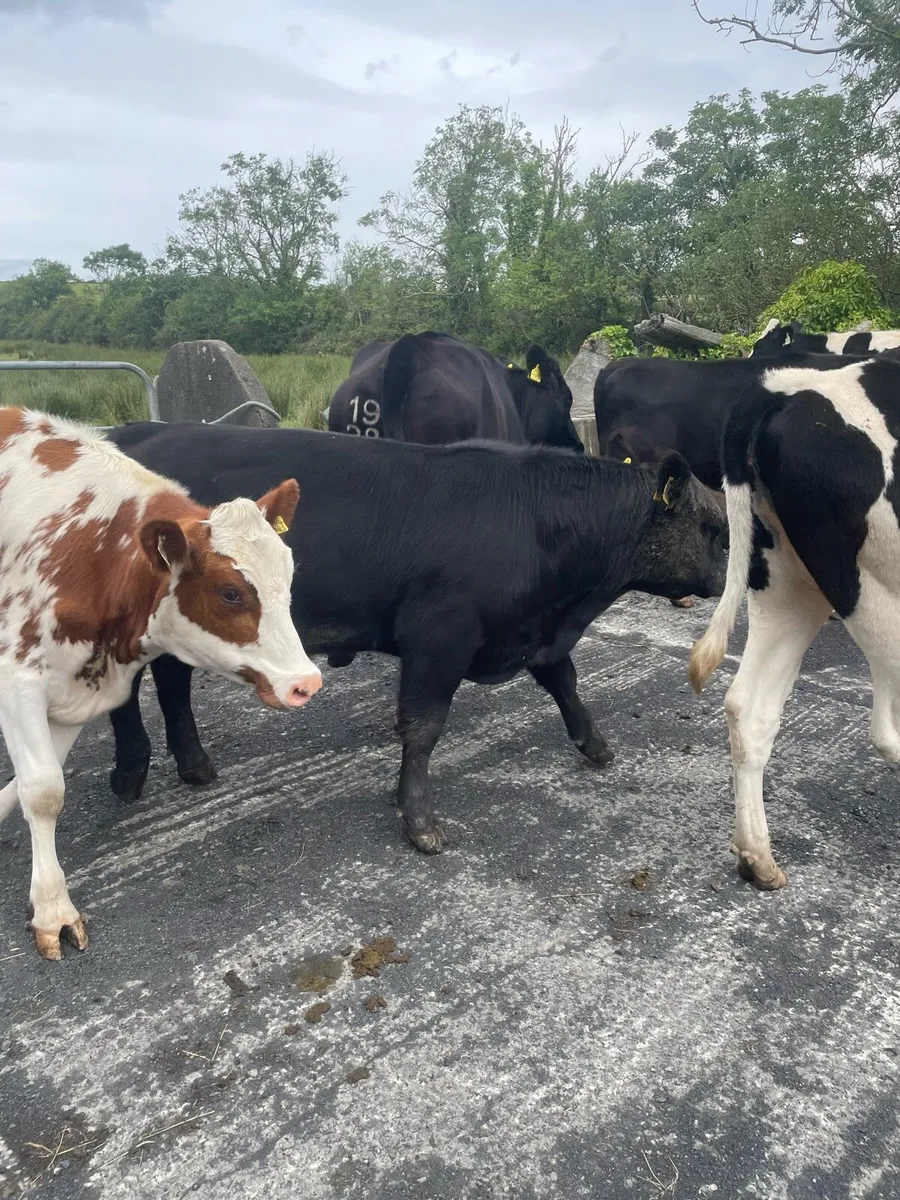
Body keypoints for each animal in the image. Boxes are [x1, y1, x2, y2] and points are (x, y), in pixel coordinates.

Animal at [0, 407, 322, 959]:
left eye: (289, 576)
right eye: (231, 592)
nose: (307, 682)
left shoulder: (72, 690)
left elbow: (30, 783)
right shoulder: (17, 677)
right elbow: (43, 790)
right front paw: (53, 908)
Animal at [104, 422, 727, 857]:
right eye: (714, 529)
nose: (731, 580)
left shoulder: (531, 631)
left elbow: (564, 681)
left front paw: (594, 744)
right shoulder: (440, 636)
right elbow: (423, 727)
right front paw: (419, 820)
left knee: (172, 679)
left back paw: (193, 764)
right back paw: (131, 770)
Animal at [688, 356, 900, 890]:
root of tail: (778, 387)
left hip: (788, 588)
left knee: (748, 706)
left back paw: (757, 857)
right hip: (876, 591)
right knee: (888, 728)